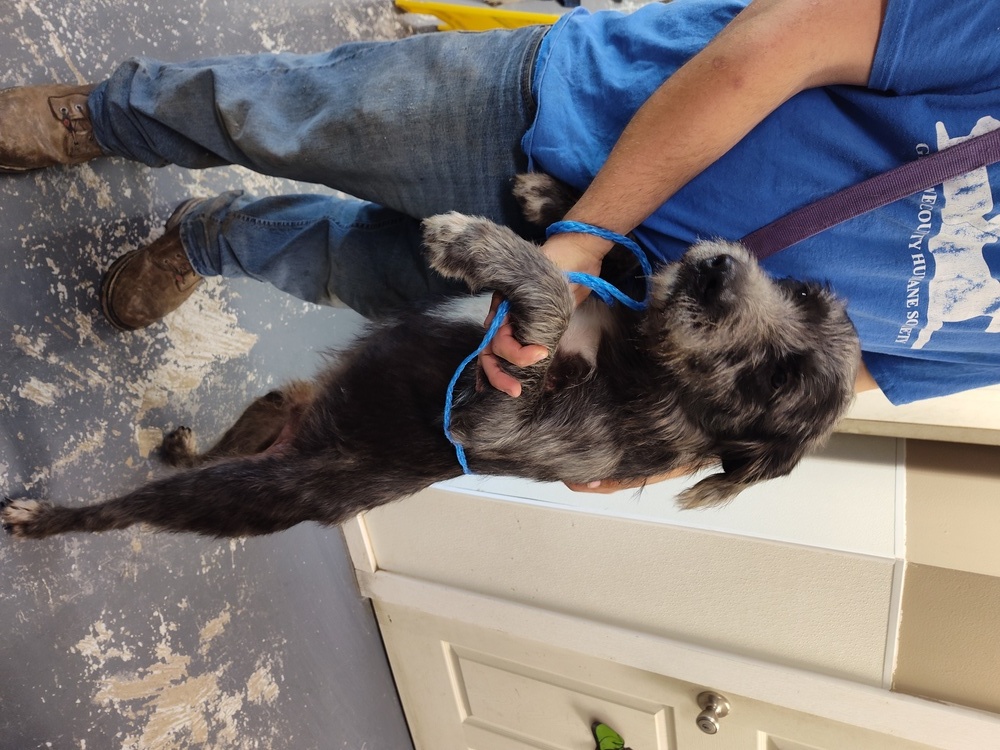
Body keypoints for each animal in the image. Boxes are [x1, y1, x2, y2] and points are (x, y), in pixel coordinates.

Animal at [0, 176, 860, 540]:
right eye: (807, 293)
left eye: (779, 377)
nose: (718, 272)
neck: (649, 360)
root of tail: (293, 451)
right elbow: (610, 256)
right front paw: (550, 197)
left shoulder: (496, 415)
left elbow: (551, 292)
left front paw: (478, 242)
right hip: (275, 408)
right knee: (210, 452)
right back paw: (182, 444)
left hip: (243, 492)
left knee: (134, 507)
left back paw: (44, 517)